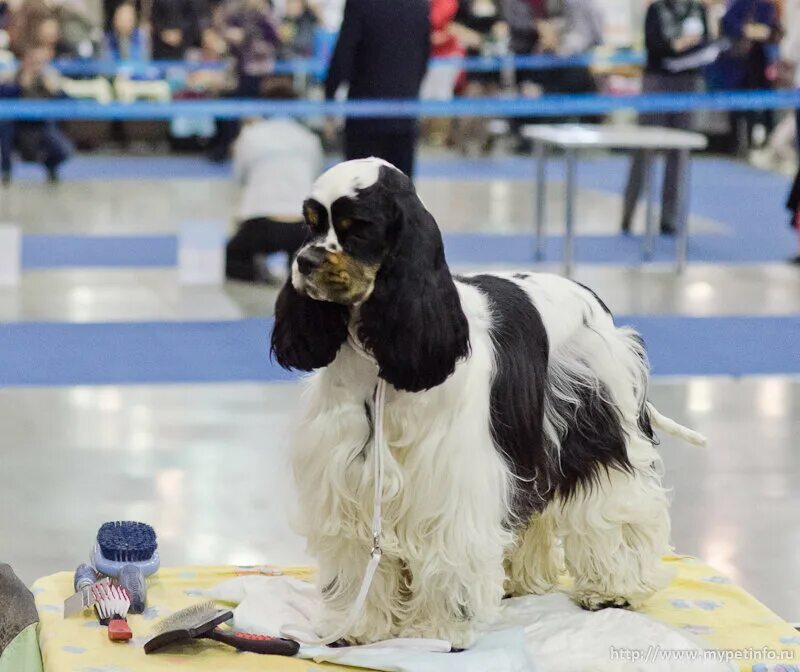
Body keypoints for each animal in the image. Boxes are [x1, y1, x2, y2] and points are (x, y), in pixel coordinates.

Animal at [270, 156, 708, 644]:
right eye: (310, 224)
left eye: (357, 228)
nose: (304, 262)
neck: (378, 351)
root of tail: (591, 298)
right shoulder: (347, 480)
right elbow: (356, 563)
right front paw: (357, 627)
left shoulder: (451, 485)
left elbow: (448, 557)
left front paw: (440, 630)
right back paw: (526, 580)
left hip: (597, 423)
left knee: (617, 506)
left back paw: (614, 589)